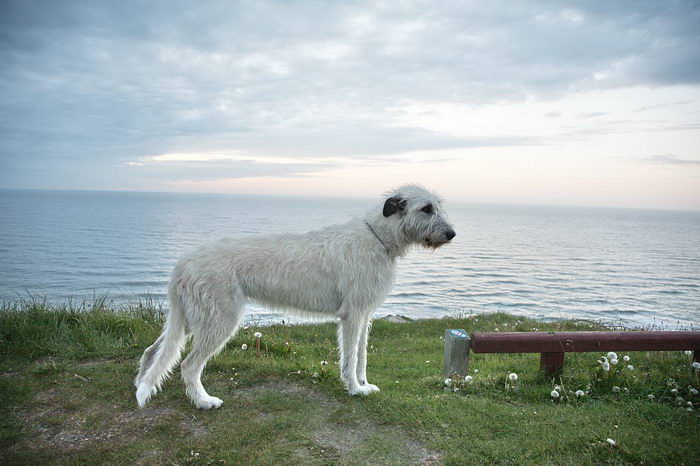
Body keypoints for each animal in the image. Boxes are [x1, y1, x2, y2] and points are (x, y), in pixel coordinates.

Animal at [135, 184, 456, 410]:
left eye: (437, 206)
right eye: (426, 208)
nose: (452, 234)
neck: (377, 237)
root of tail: (183, 263)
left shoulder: (365, 313)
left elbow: (362, 354)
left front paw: (364, 384)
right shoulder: (352, 314)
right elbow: (351, 355)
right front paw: (354, 388)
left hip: (191, 316)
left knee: (153, 350)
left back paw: (140, 384)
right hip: (219, 318)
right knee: (188, 365)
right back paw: (203, 401)